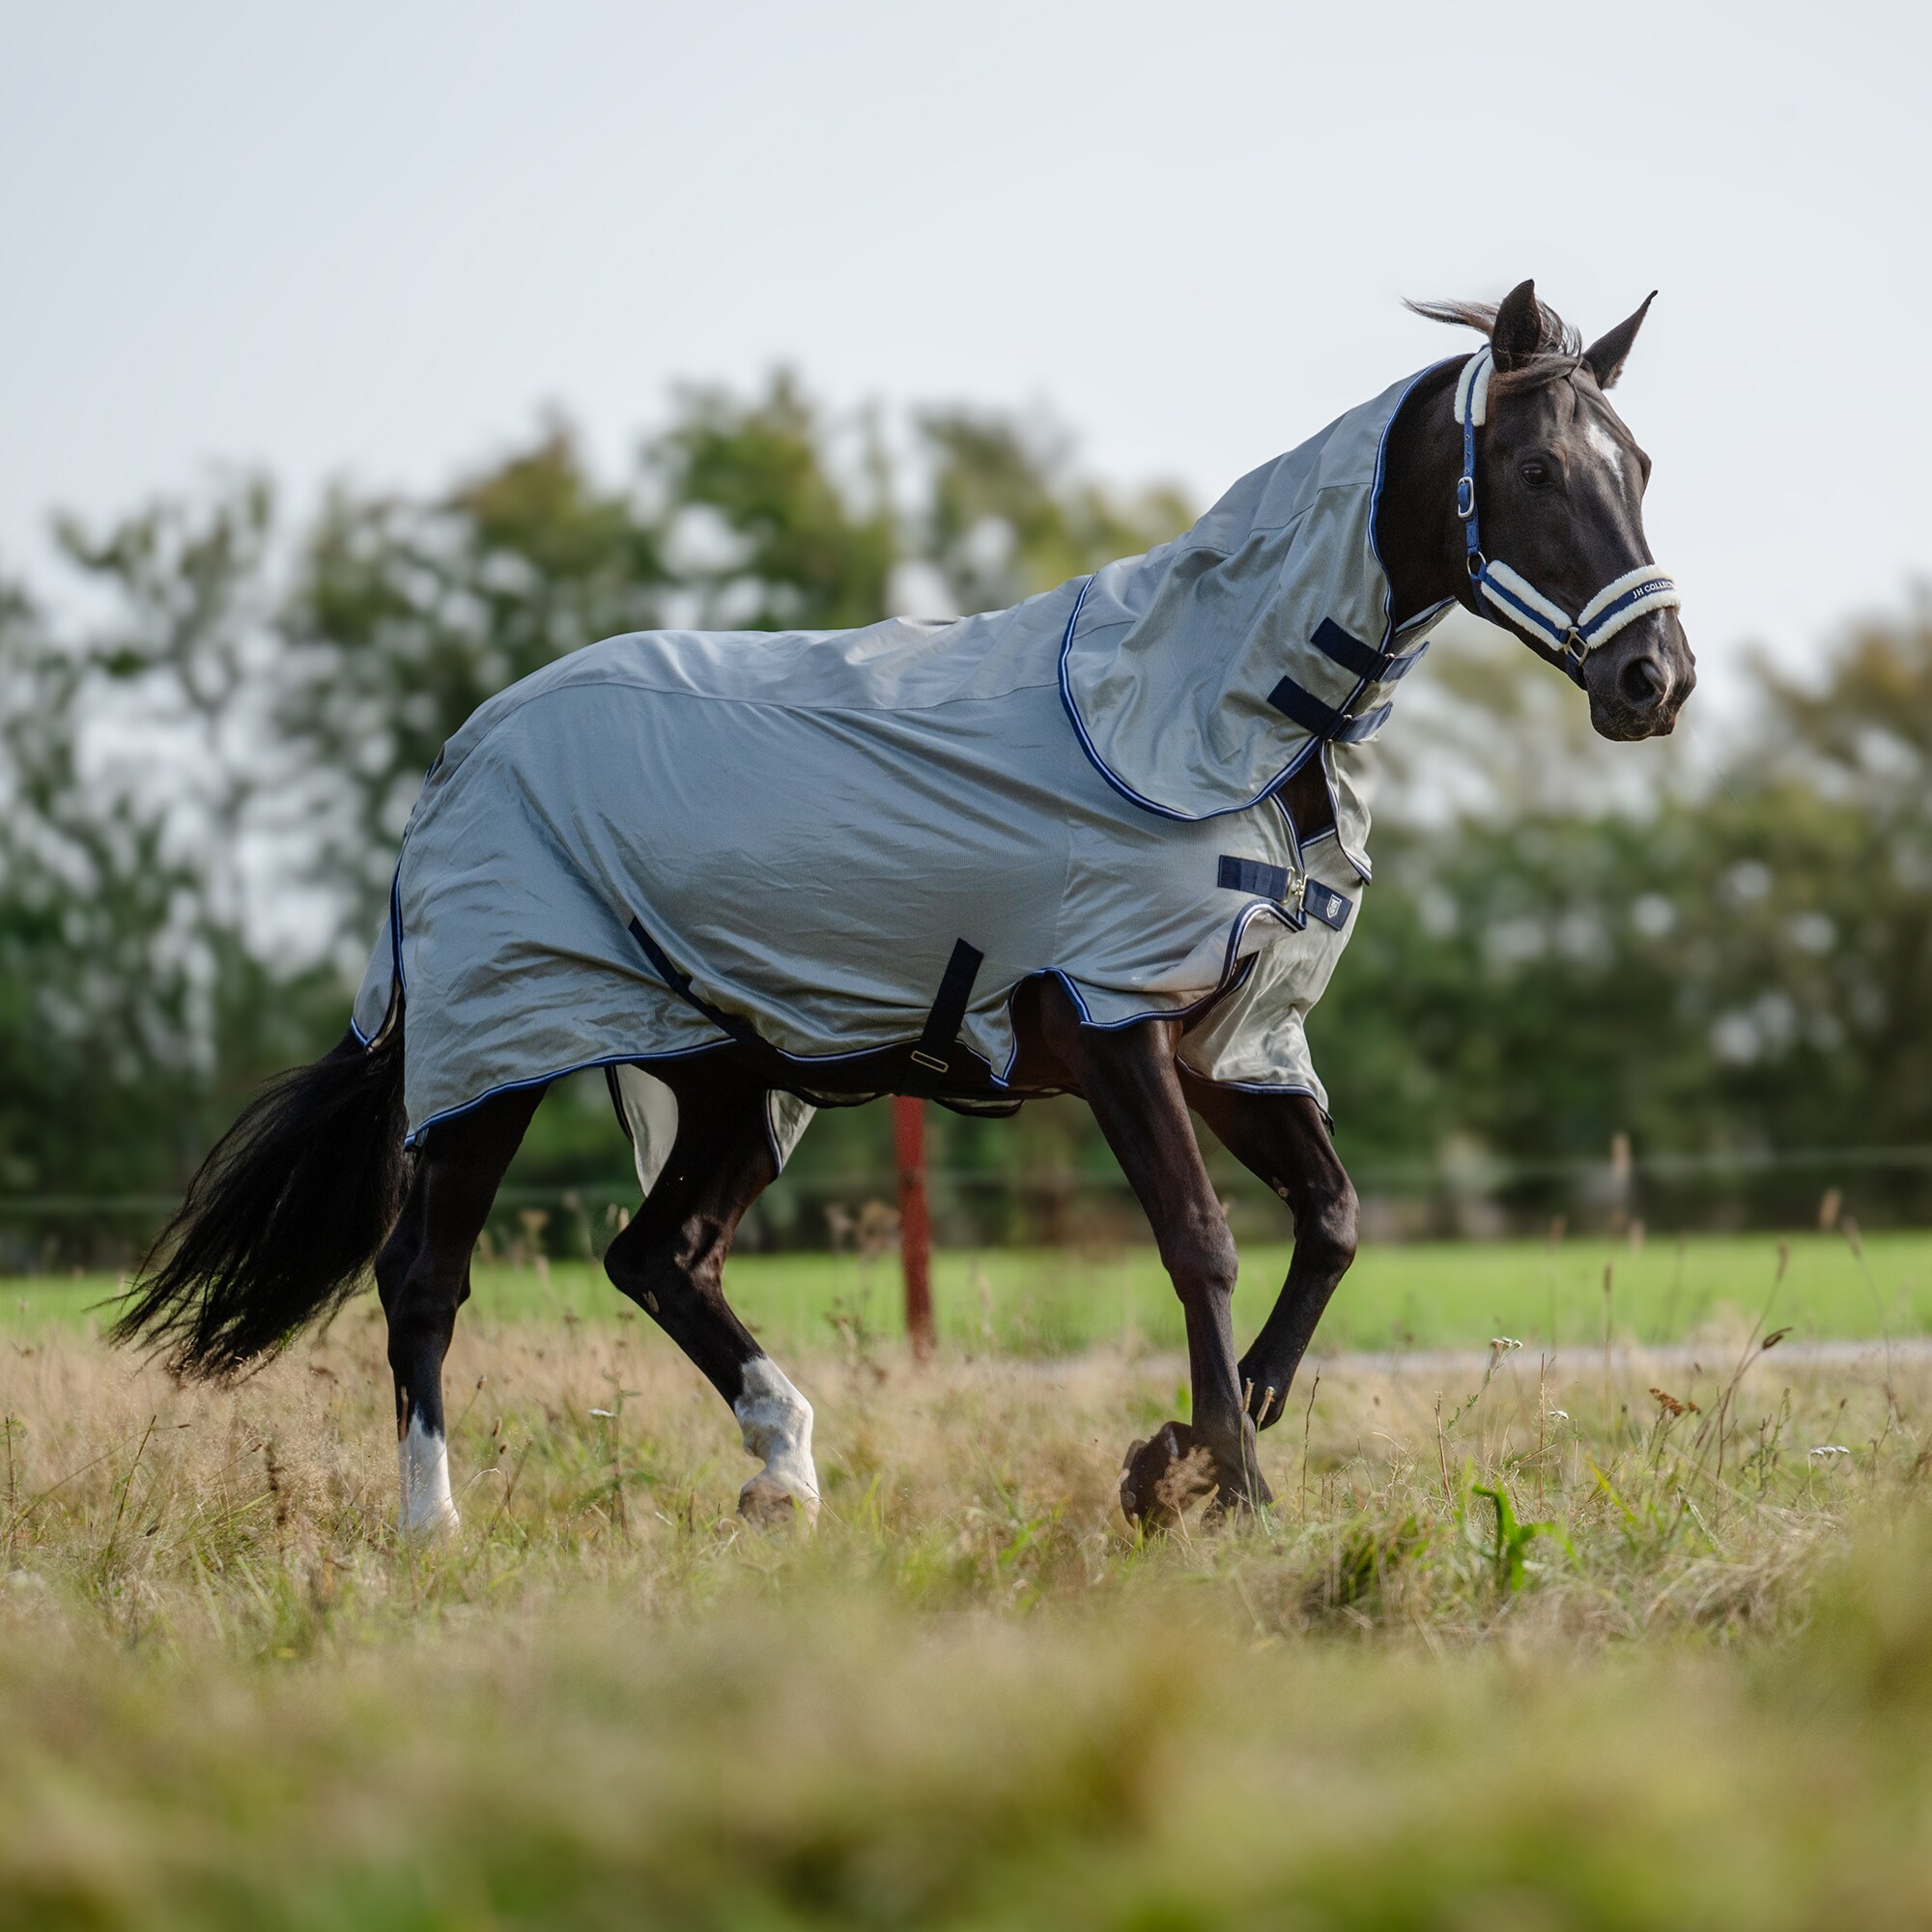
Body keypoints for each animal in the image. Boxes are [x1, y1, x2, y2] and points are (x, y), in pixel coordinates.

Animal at [117, 280, 1692, 1530]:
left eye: (1638, 463)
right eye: (1536, 467)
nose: (1654, 679)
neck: (1220, 718)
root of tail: (457, 758)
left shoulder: (1232, 1045)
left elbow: (1335, 1222)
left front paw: (1177, 1456)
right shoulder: (1113, 1029)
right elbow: (1203, 1241)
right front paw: (1228, 1488)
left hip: (731, 1076)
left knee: (656, 1256)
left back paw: (784, 1472)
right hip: (496, 1056)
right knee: (424, 1276)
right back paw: (435, 1525)